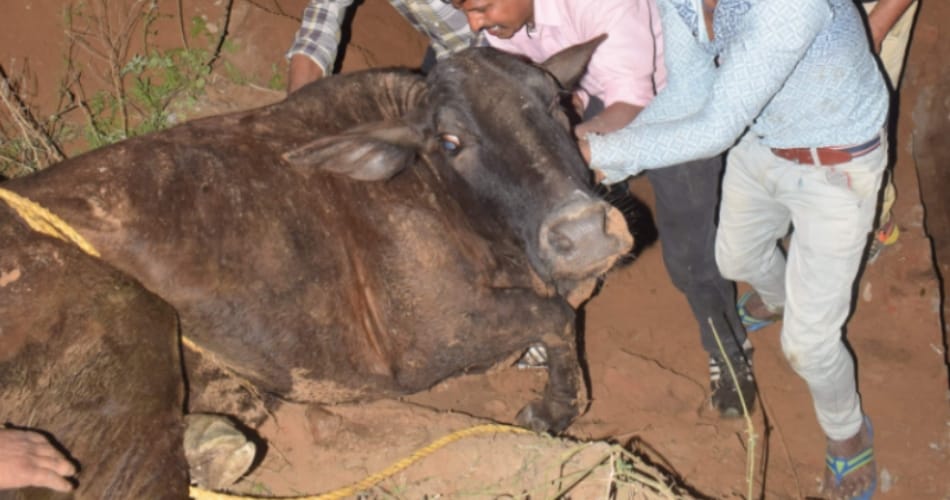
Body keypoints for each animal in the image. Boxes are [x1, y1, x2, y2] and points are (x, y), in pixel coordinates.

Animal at [0, 39, 631, 493]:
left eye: (555, 103)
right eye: (451, 141)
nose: (583, 233)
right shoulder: (417, 350)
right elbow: (555, 316)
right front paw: (553, 410)